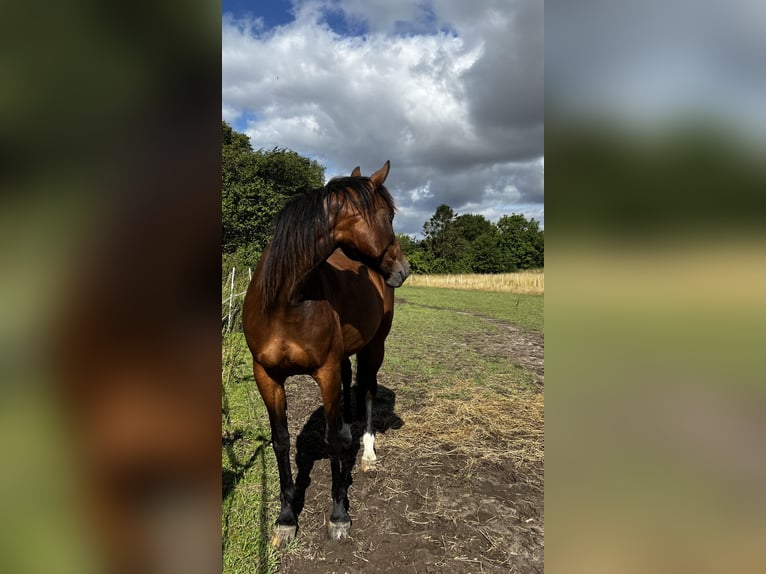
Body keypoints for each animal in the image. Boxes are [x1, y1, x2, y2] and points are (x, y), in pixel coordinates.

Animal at [244, 160, 414, 548]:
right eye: (389, 215)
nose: (404, 268)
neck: (287, 299)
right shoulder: (267, 376)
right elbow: (281, 441)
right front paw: (286, 519)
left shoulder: (325, 371)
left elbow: (333, 440)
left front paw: (338, 516)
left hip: (375, 346)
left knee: (367, 389)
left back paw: (367, 452)